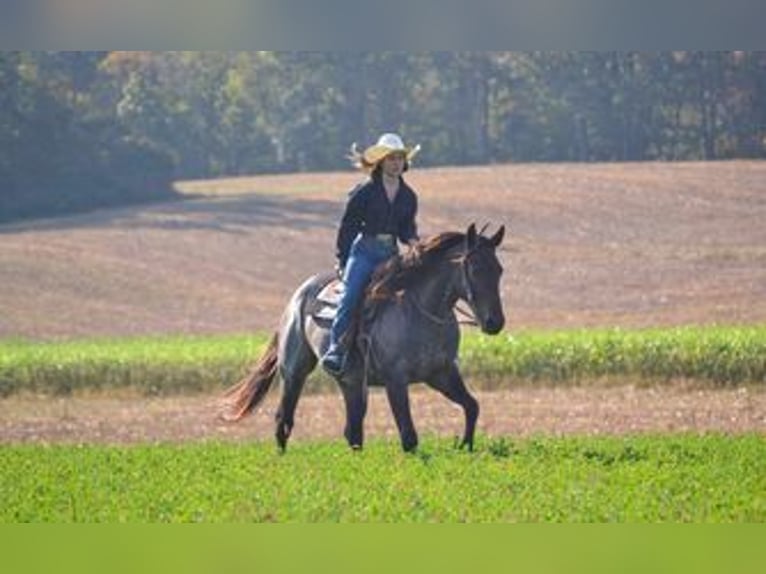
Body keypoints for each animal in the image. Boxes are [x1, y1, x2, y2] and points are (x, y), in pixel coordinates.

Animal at [222, 225, 508, 454]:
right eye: (474, 268)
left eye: (499, 270)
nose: (495, 322)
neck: (423, 311)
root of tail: (299, 294)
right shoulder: (396, 380)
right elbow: (409, 436)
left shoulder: (441, 373)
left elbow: (472, 406)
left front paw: (465, 446)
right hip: (294, 371)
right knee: (284, 418)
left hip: (351, 382)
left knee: (353, 430)